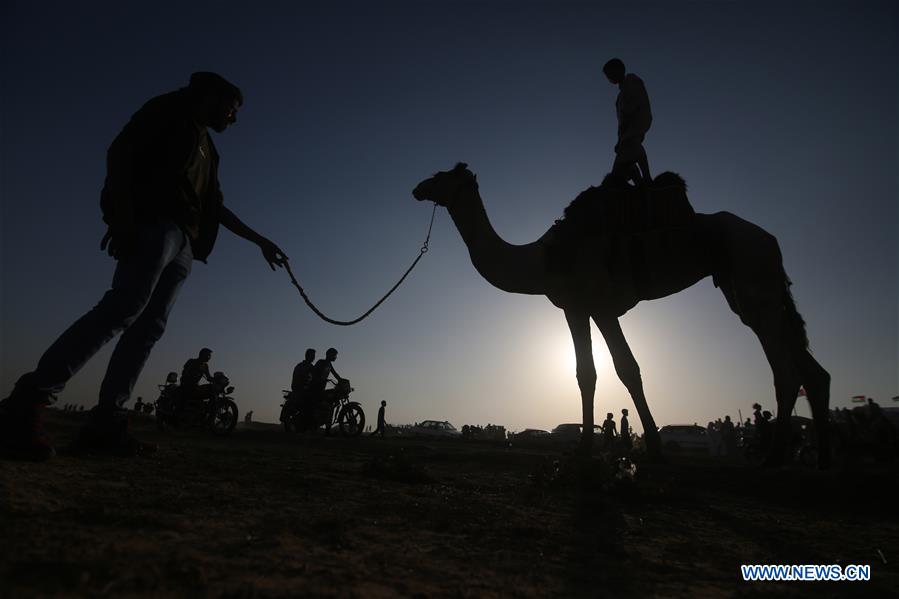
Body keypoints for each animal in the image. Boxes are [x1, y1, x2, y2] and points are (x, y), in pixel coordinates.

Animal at [412, 163, 832, 468]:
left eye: (444, 175)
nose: (418, 187)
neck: (544, 259)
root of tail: (770, 239)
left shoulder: (595, 305)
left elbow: (619, 369)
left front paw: (647, 448)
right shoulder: (580, 308)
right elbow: (594, 372)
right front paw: (589, 447)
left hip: (752, 279)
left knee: (786, 370)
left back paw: (775, 457)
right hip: (748, 290)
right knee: (809, 369)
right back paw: (822, 460)